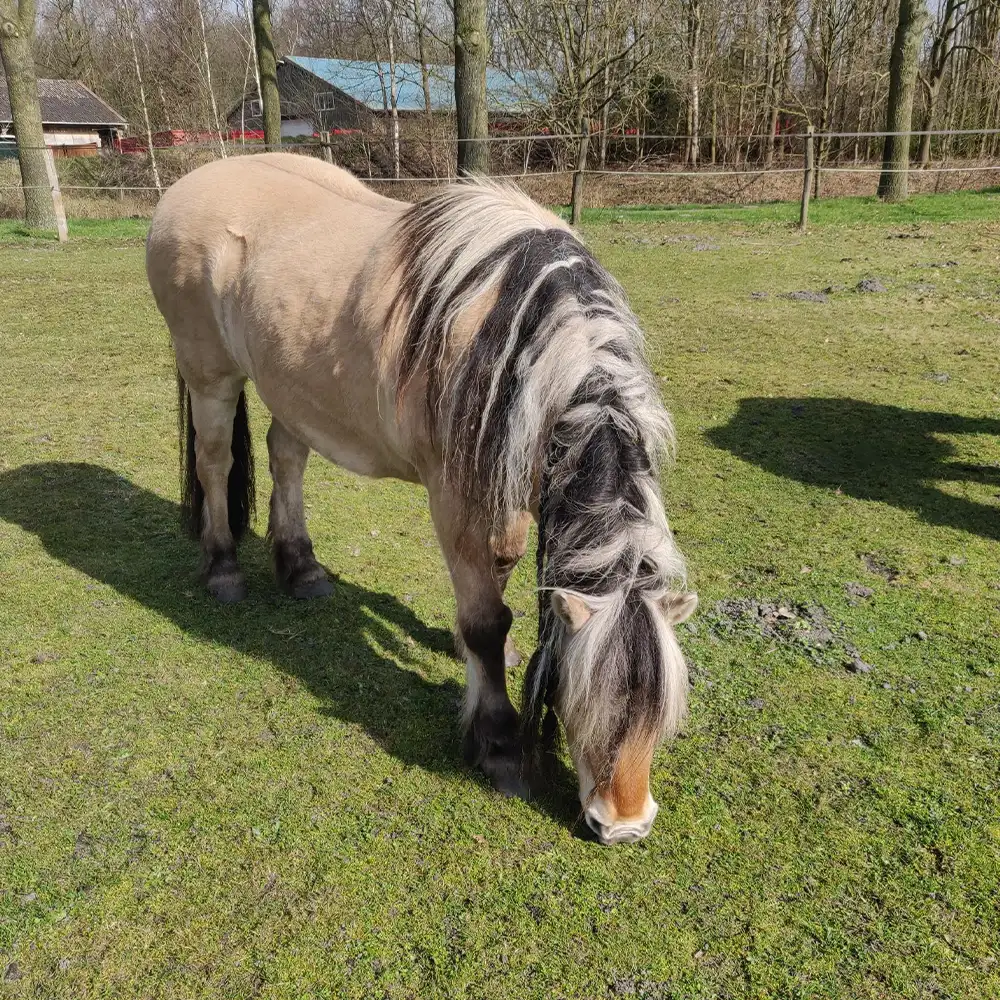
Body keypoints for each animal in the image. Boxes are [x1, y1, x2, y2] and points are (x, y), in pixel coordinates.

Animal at [146, 154, 696, 844]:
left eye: (663, 712)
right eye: (588, 700)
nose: (623, 825)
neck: (515, 339)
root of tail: (190, 183)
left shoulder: (508, 483)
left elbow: (499, 574)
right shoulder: (456, 495)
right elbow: (485, 618)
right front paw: (498, 744)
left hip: (293, 386)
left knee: (286, 456)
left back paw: (301, 569)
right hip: (210, 376)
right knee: (215, 464)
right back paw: (222, 569)